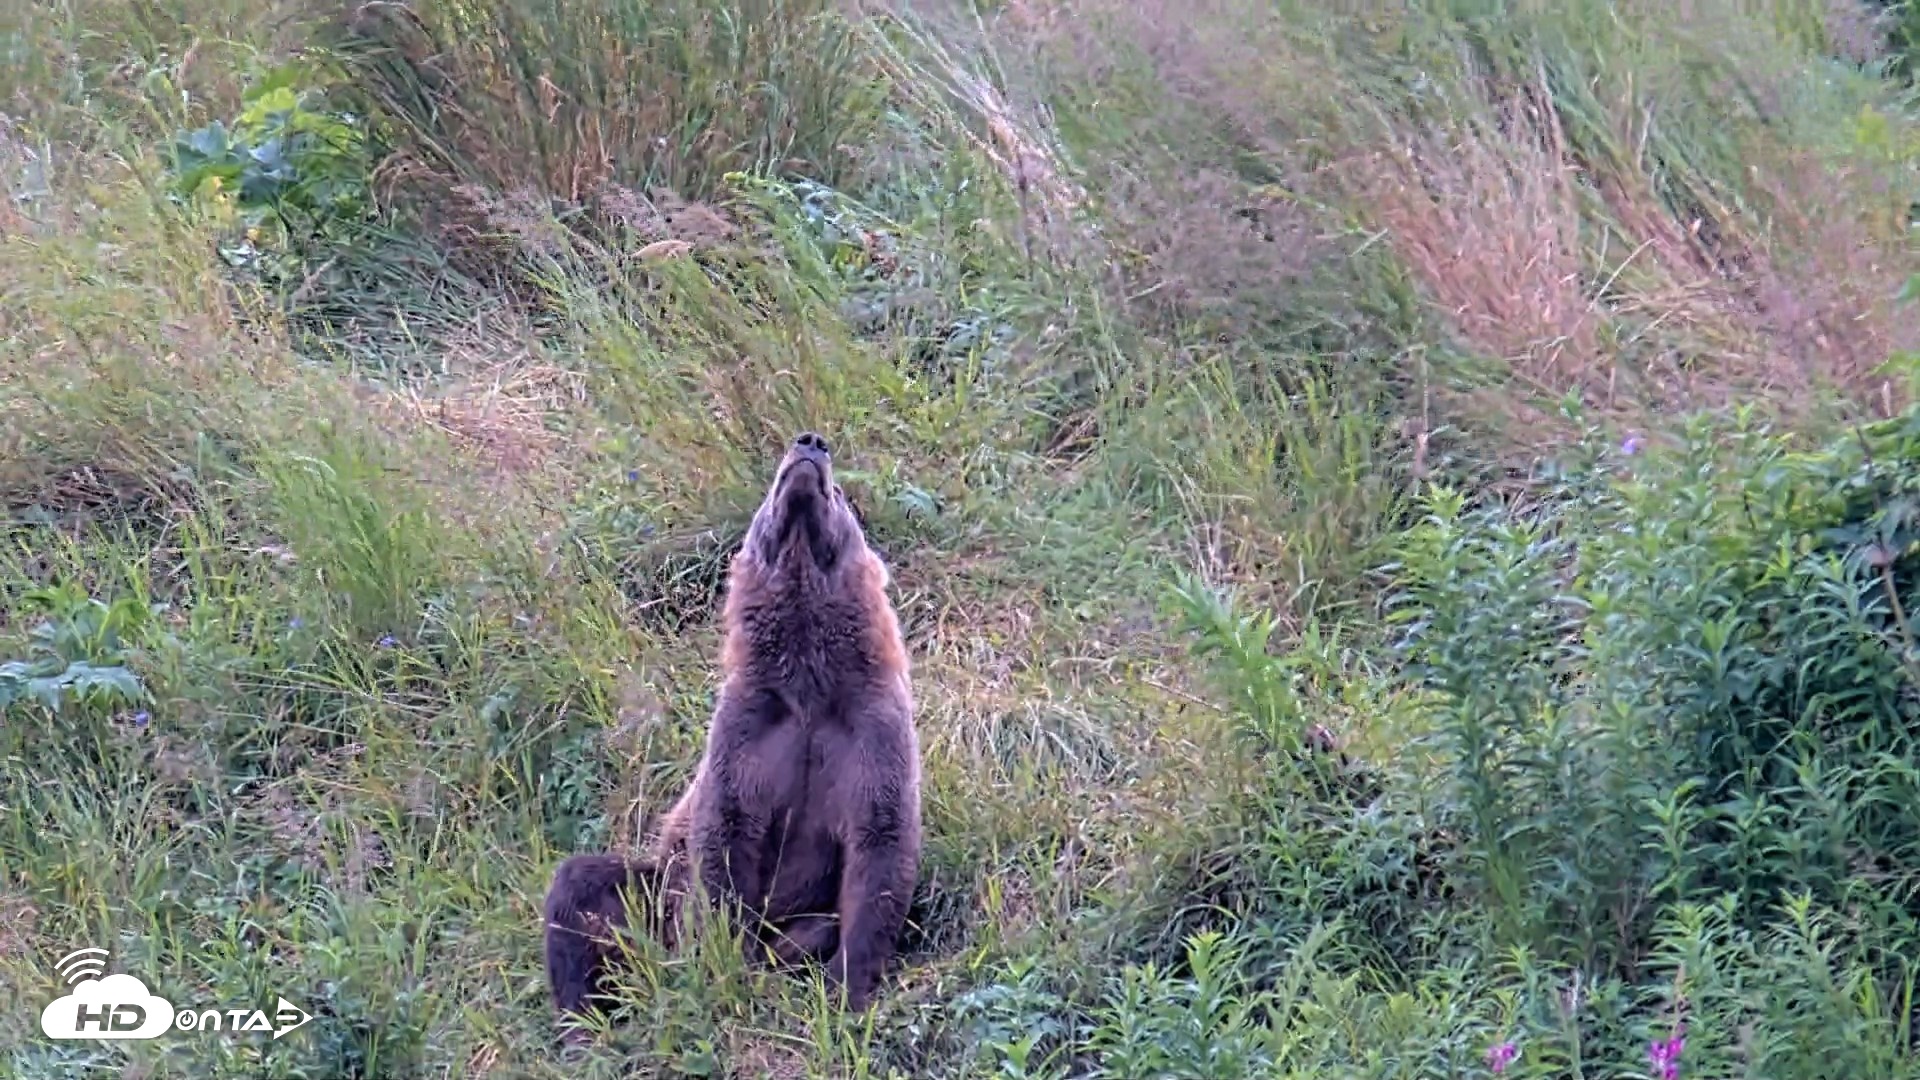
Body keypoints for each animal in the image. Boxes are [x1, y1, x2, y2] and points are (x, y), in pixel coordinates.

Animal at [542, 430, 922, 1031]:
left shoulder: (870, 730)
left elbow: (880, 842)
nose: (810, 444)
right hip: (654, 893)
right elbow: (724, 836)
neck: (807, 679)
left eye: (839, 495)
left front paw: (849, 984)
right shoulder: (748, 730)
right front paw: (721, 960)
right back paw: (586, 1018)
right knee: (583, 886)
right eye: (773, 485)